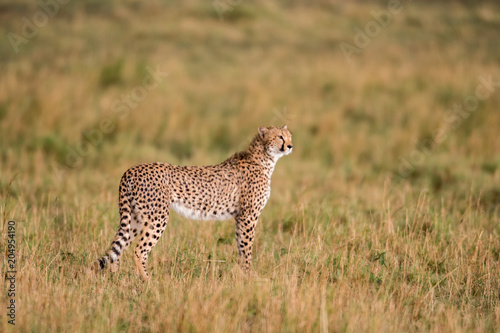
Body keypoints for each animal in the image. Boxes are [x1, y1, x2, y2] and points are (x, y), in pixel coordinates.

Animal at [93, 126, 292, 278]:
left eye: (289, 136)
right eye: (279, 136)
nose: (290, 146)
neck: (264, 159)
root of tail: (132, 169)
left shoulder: (240, 217)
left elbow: (240, 246)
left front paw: (242, 273)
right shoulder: (248, 216)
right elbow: (247, 246)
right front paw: (249, 275)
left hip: (135, 218)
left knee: (118, 249)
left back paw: (117, 280)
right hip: (157, 217)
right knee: (139, 250)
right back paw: (148, 281)